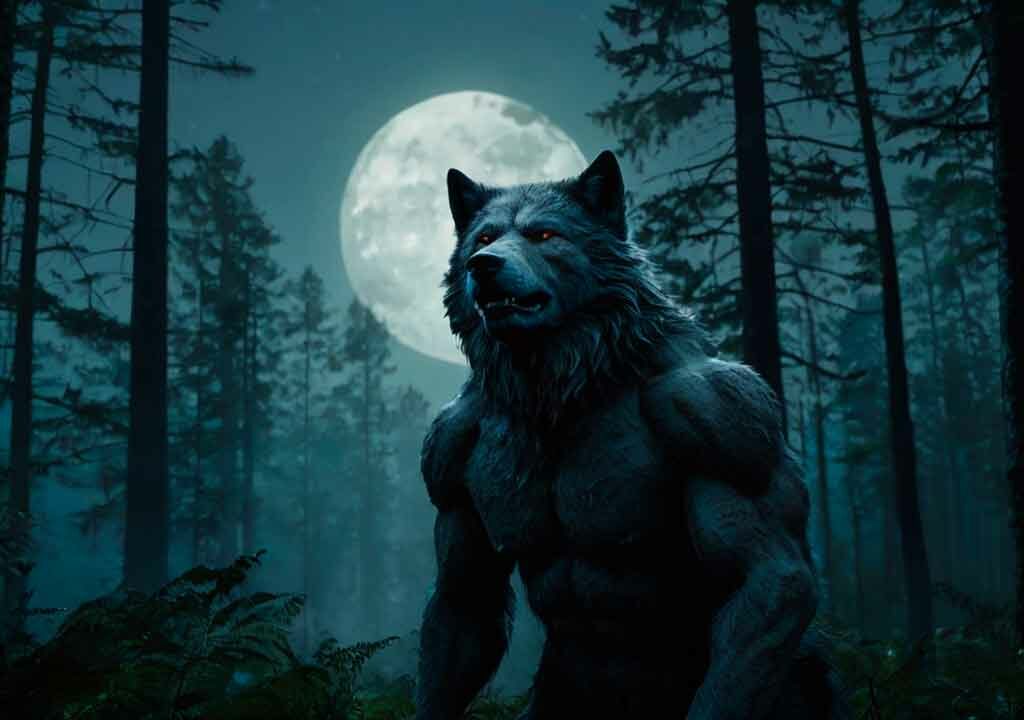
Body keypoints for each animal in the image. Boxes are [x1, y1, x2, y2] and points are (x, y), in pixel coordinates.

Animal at [415, 150, 845, 719]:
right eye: (484, 238)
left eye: (544, 235)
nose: (482, 266)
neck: (561, 390)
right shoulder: (450, 449)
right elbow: (466, 595)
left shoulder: (721, 417)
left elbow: (766, 574)